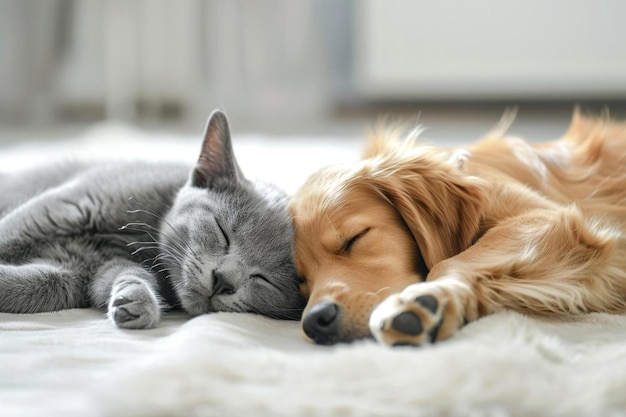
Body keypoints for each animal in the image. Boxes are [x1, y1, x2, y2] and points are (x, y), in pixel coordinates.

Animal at [0, 110, 304, 328]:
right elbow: (10, 235)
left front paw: (136, 301)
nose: (223, 281)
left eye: (264, 279)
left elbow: (45, 284)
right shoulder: (63, 206)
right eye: (222, 232)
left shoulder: (81, 269)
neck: (136, 241)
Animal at [290, 110, 624, 344]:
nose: (316, 321)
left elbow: (448, 263)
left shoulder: (550, 218)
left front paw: (427, 298)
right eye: (302, 279)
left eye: (354, 239)